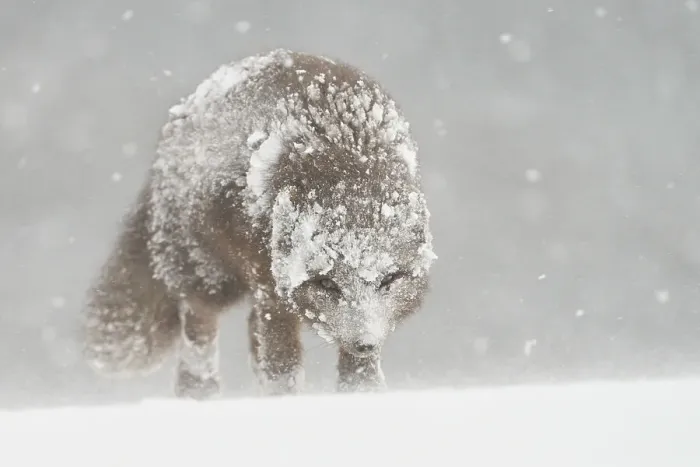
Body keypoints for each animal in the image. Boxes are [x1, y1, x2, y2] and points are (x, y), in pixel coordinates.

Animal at [82, 49, 437, 399]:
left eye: (389, 280)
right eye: (326, 283)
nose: (365, 342)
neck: (345, 154)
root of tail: (182, 111)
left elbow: (359, 380)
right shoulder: (272, 292)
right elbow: (284, 371)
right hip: (209, 280)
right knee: (199, 346)